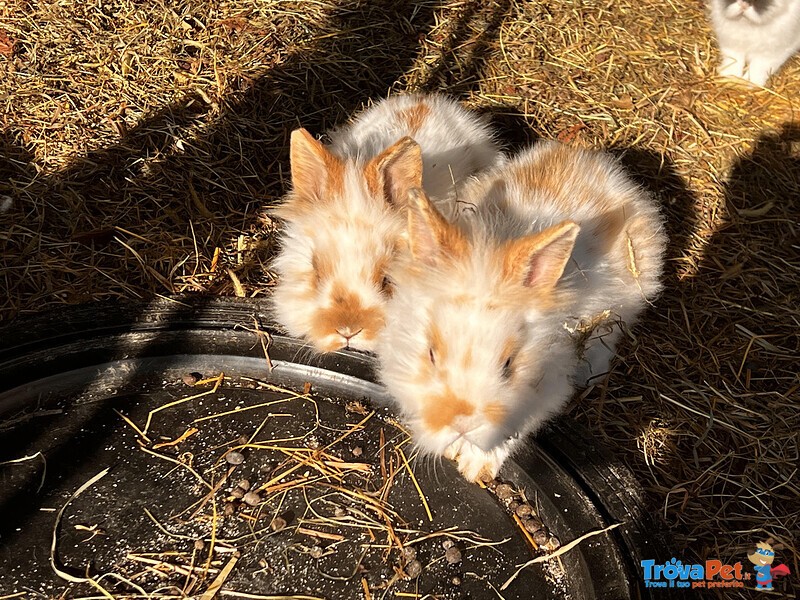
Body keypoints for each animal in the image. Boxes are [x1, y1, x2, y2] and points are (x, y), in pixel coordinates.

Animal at [376, 142, 668, 482]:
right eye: (431, 354)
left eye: (508, 365)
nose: (463, 423)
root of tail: (603, 166)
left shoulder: (544, 394)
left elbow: (513, 432)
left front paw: (474, 467)